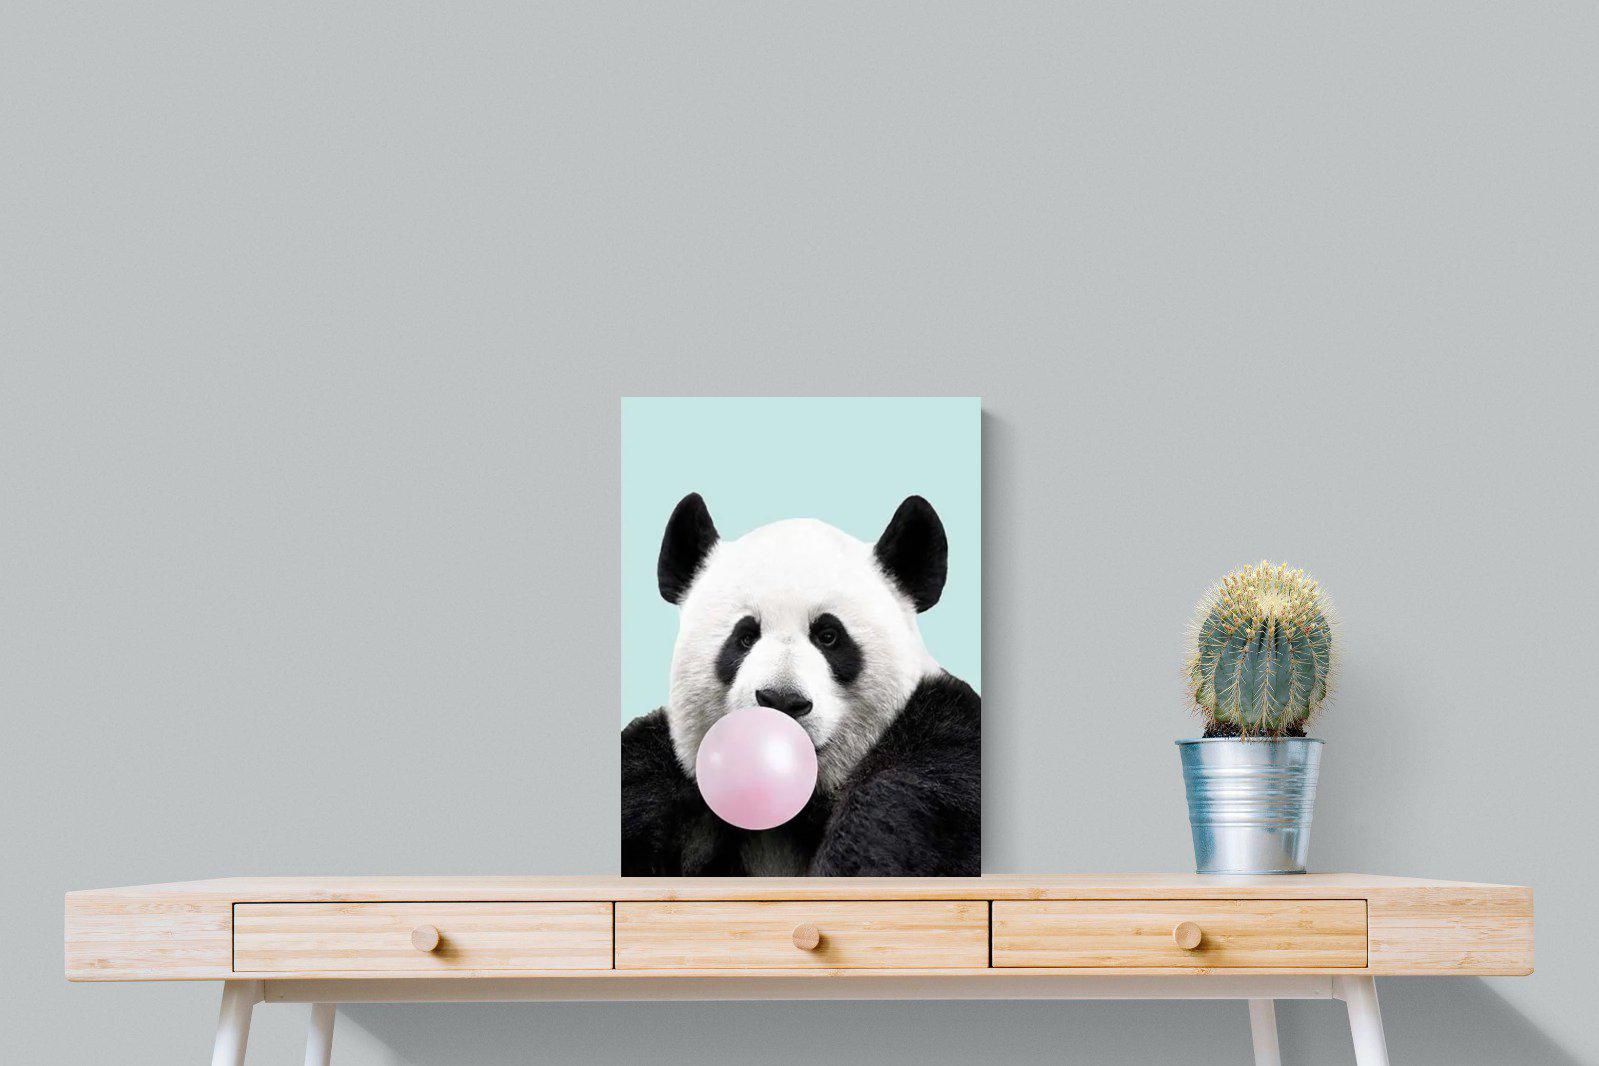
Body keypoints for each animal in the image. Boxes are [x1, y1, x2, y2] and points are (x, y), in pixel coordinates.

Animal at [621, 492, 980, 876]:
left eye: (829, 636)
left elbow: (903, 812)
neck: (794, 810)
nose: (781, 700)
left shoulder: (944, 752)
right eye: (745, 637)